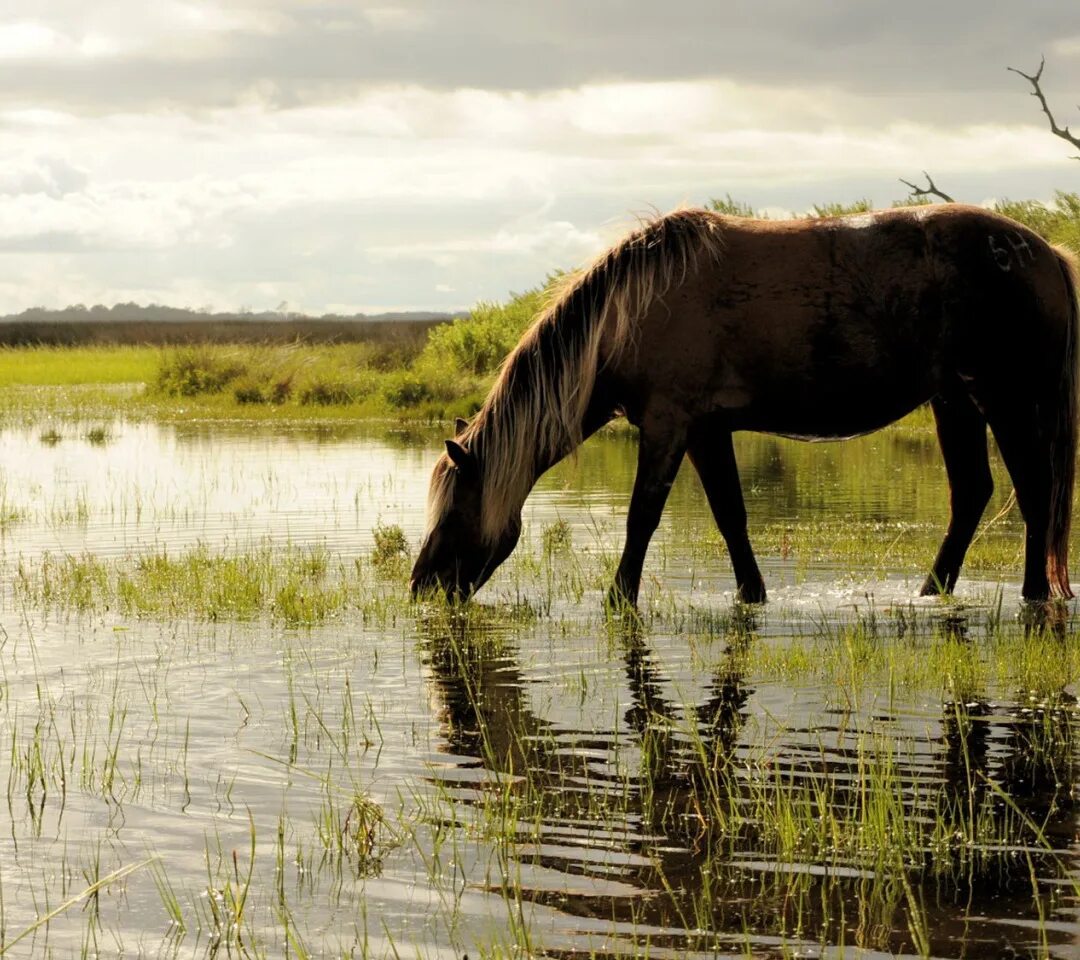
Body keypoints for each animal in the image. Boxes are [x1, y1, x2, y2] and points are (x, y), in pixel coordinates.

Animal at [406, 206, 1080, 604]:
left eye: (456, 509)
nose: (421, 586)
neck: (629, 311)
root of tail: (1045, 252)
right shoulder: (706, 431)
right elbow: (731, 515)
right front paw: (751, 595)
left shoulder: (668, 425)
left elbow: (641, 517)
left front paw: (619, 600)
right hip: (954, 400)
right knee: (973, 493)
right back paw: (931, 592)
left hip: (1004, 398)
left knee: (1033, 491)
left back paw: (1032, 595)